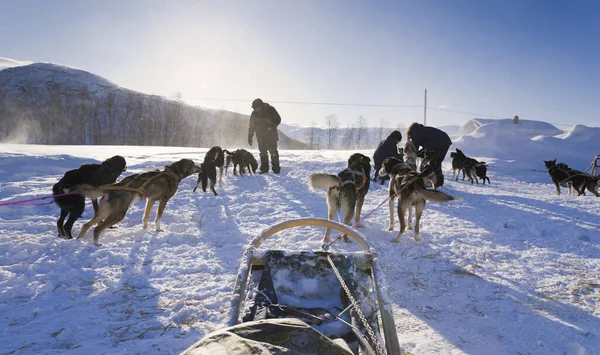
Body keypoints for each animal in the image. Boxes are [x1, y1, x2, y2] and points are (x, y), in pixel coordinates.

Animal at [74, 160, 202, 246]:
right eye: (193, 164)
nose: (200, 166)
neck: (172, 174)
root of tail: (112, 188)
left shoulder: (150, 199)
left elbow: (146, 216)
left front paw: (145, 229)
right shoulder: (163, 200)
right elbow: (158, 217)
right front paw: (158, 230)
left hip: (104, 213)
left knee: (86, 225)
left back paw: (78, 241)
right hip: (118, 215)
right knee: (97, 228)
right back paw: (96, 243)